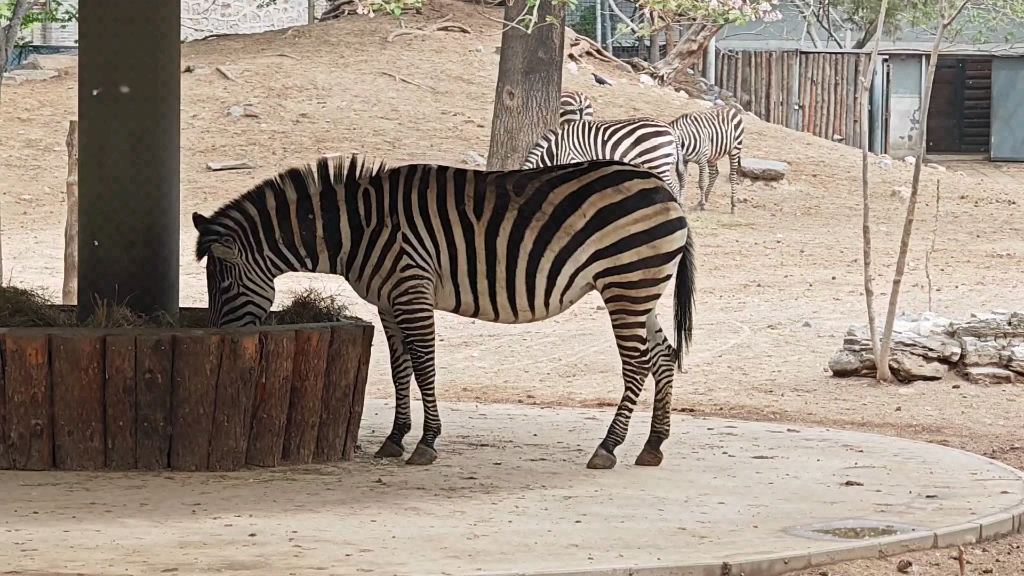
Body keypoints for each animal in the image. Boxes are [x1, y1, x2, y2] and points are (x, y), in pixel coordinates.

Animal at [193, 153, 696, 471]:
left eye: (224, 283)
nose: (222, 340)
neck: (357, 230)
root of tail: (664, 188)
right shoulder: (387, 301)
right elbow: (399, 370)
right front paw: (395, 439)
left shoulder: (412, 288)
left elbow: (424, 367)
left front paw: (426, 442)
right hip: (641, 287)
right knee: (663, 357)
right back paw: (653, 446)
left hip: (626, 283)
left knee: (636, 365)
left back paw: (607, 448)